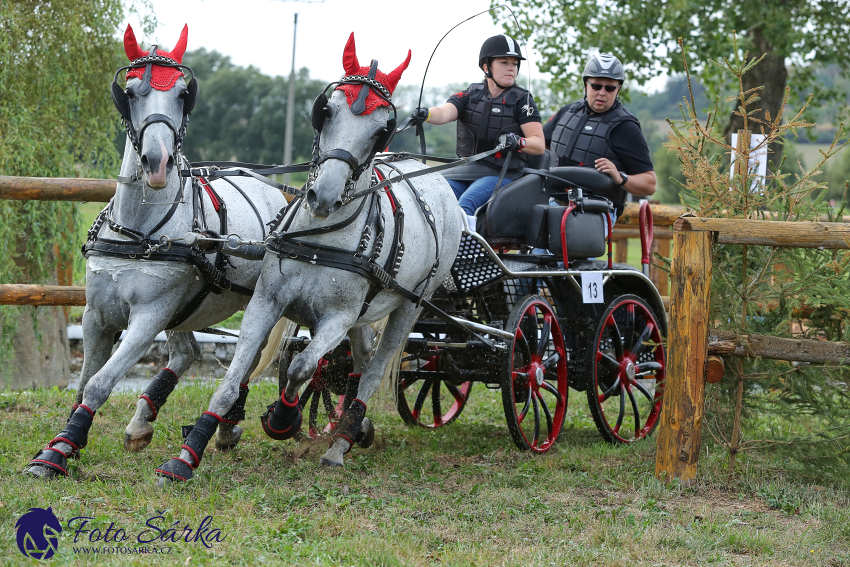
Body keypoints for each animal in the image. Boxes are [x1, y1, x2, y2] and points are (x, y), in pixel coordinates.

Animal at [24, 25, 288, 480]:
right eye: (130, 92)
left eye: (183, 94)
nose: (157, 162)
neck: (139, 230)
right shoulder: (96, 315)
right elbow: (82, 383)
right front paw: (64, 443)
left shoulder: (148, 316)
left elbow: (100, 383)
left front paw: (60, 450)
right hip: (183, 307)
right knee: (187, 353)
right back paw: (144, 421)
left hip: (243, 302)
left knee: (246, 358)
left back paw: (226, 422)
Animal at [157, 33, 464, 482]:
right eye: (327, 110)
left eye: (381, 130)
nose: (323, 196)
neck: (321, 240)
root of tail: (437, 179)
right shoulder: (267, 303)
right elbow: (236, 375)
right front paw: (188, 453)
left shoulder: (337, 318)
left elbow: (302, 366)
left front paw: (283, 419)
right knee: (361, 358)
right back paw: (354, 427)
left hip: (410, 305)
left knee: (373, 371)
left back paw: (341, 442)